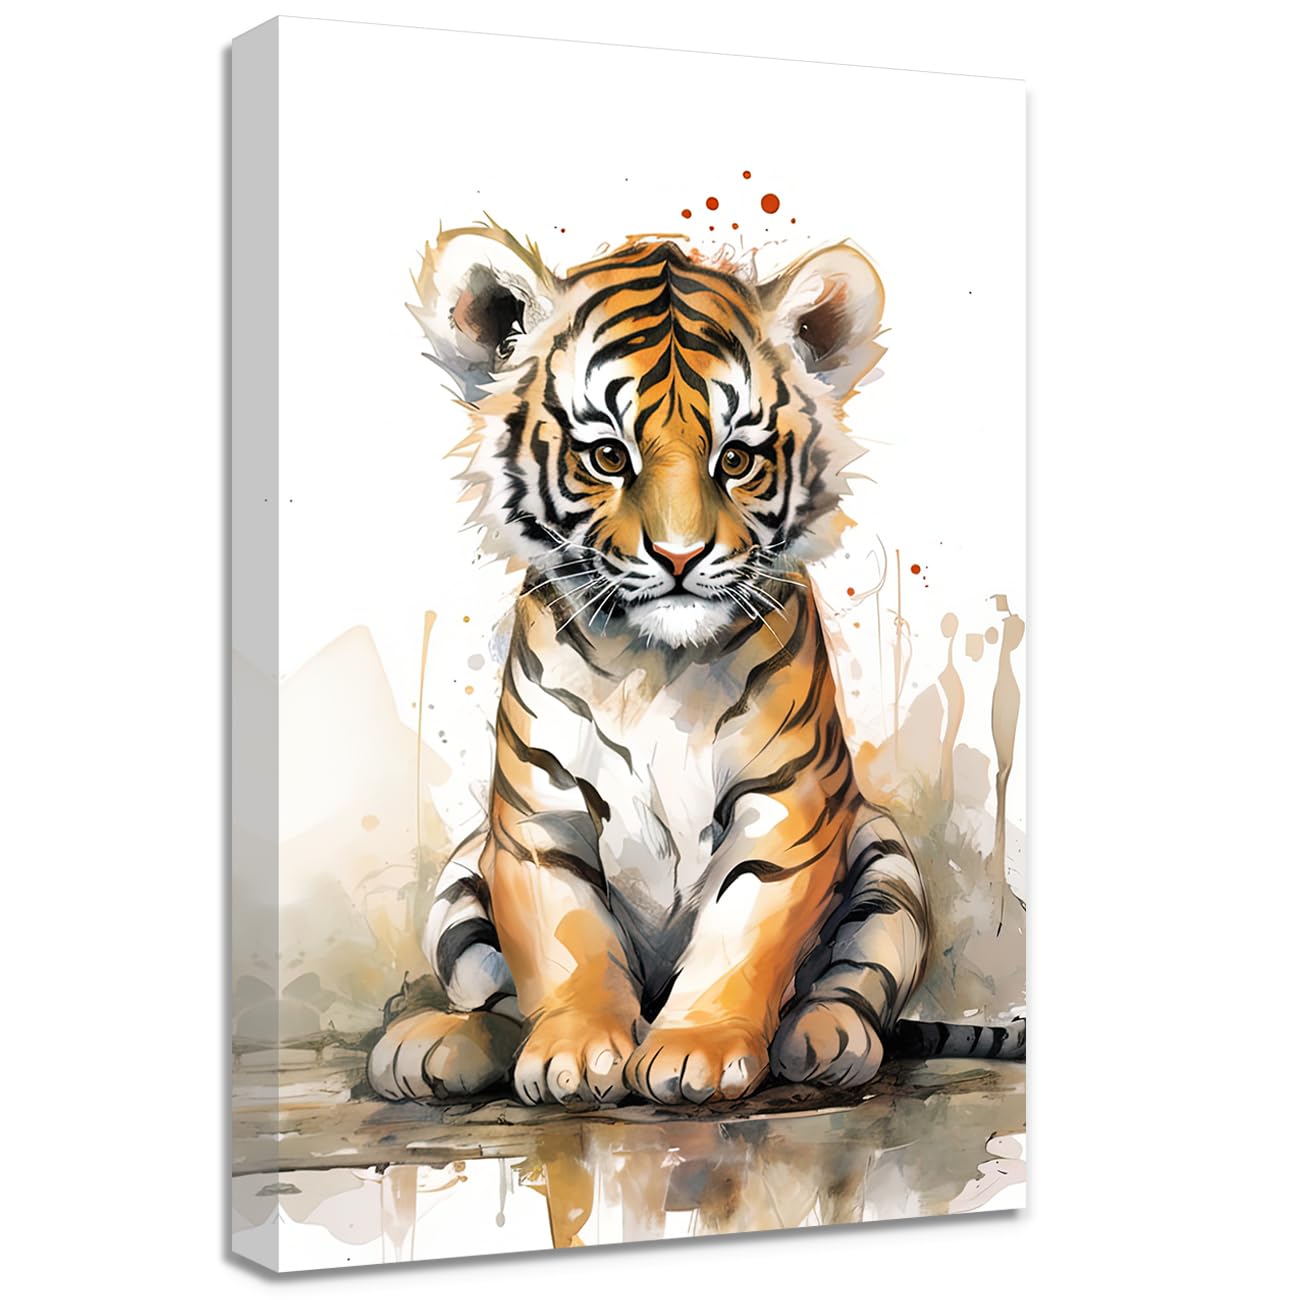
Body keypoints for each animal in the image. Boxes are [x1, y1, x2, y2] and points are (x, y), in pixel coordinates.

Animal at [367, 223, 1023, 1107]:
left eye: (737, 460)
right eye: (608, 457)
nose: (680, 557)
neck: (655, 666)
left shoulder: (785, 806)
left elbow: (742, 934)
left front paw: (696, 1051)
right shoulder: (540, 820)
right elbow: (565, 942)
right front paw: (576, 1051)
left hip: (886, 863)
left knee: (854, 987)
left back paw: (824, 1040)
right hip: (463, 877)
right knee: (494, 1001)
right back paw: (434, 1046)